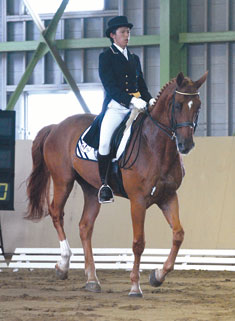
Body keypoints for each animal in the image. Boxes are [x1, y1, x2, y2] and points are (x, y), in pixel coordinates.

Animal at [25, 71, 207, 296]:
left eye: (198, 106)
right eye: (178, 105)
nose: (186, 145)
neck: (154, 145)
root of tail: (56, 127)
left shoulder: (168, 197)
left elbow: (178, 235)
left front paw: (157, 276)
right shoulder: (138, 201)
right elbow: (138, 243)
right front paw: (135, 286)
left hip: (92, 189)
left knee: (85, 227)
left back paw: (92, 279)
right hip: (62, 180)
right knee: (56, 213)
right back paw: (63, 265)